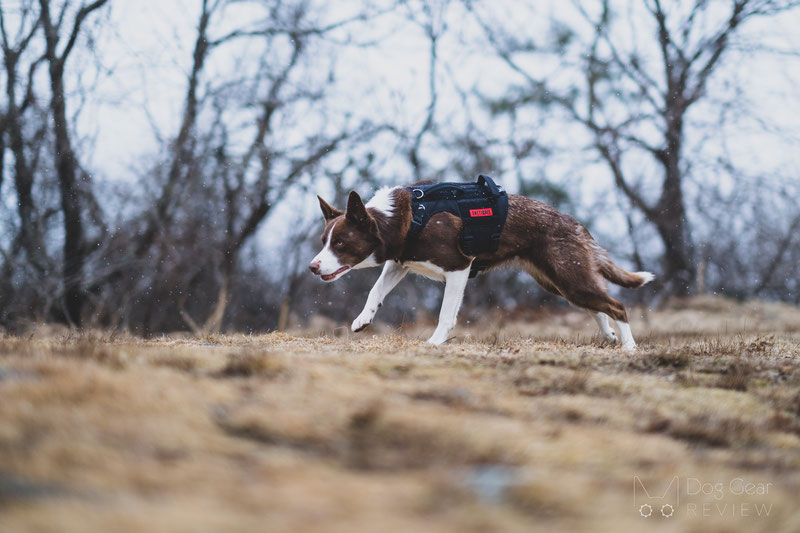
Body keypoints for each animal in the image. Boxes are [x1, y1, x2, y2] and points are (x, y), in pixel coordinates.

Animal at [310, 185, 652, 348]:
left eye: (340, 243)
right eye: (324, 241)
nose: (312, 267)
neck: (400, 221)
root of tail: (575, 223)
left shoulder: (458, 268)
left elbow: (446, 314)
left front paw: (435, 342)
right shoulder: (399, 263)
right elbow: (375, 291)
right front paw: (362, 320)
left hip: (569, 277)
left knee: (617, 306)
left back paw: (629, 347)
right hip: (559, 281)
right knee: (598, 306)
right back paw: (610, 337)